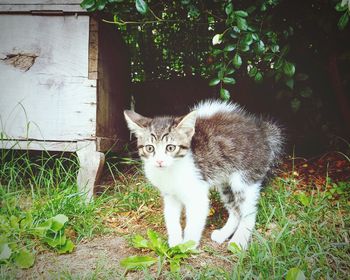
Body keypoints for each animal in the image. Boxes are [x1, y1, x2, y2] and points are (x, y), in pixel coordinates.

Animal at [124, 99, 284, 248]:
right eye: (150, 148)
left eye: (170, 147)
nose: (159, 161)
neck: (170, 171)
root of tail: (261, 130)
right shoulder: (170, 195)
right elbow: (171, 218)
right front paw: (175, 243)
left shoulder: (197, 194)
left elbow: (194, 222)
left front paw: (187, 245)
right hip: (225, 183)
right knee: (235, 211)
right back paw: (224, 234)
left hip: (244, 179)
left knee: (249, 213)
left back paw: (239, 242)